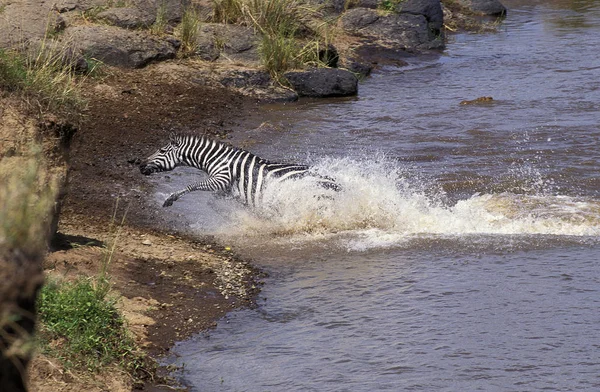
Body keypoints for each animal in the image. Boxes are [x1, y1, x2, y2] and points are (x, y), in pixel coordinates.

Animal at [138, 132, 340, 207]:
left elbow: (193, 185)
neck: (216, 158)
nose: (139, 165)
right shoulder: (225, 188)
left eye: (162, 151)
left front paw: (170, 199)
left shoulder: (221, 179)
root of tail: (337, 184)